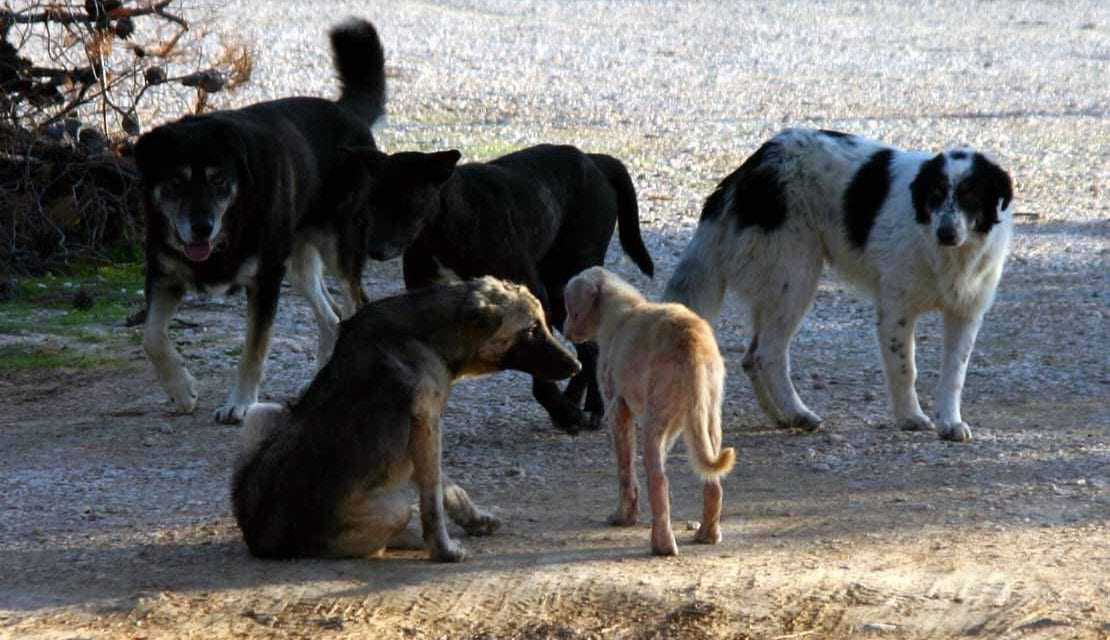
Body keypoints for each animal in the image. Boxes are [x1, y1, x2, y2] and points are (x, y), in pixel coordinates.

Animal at [135, 17, 386, 421]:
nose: (201, 228)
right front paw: (182, 391)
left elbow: (254, 350)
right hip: (298, 262)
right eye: (175, 183)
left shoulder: (264, 281)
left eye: (219, 181)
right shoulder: (164, 276)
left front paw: (239, 404)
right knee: (332, 320)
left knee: (354, 305)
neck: (229, 228)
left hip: (338, 248)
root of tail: (346, 112)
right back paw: (316, 385)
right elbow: (152, 337)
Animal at [233, 275, 581, 559]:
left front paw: (475, 520)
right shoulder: (427, 425)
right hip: (392, 510)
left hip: (263, 412)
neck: (427, 335)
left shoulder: (426, 434)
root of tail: (262, 540)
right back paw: (412, 537)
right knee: (390, 531)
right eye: (532, 330)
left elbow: (448, 488)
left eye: (544, 324)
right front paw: (443, 550)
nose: (576, 366)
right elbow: (432, 500)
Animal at [333, 143, 652, 434]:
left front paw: (563, 412)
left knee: (591, 347)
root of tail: (594, 159)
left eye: (410, 200)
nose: (375, 249)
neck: (446, 224)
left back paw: (593, 407)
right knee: (586, 347)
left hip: (565, 281)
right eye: (372, 201)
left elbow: (541, 371)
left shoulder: (534, 296)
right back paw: (576, 399)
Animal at [563, 263, 737, 554]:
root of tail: (692, 343)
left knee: (659, 480)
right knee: (712, 482)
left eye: (568, 307)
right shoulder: (677, 424)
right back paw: (708, 534)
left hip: (655, 422)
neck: (622, 308)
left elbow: (625, 470)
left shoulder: (617, 408)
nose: (565, 331)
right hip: (708, 418)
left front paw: (624, 517)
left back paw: (662, 545)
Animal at [666, 128, 1016, 441]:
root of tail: (753, 165)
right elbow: (905, 369)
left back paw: (780, 416)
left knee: (751, 357)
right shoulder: (896, 311)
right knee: (768, 353)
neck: (948, 254)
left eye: (971, 195)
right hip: (795, 277)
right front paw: (911, 417)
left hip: (776, 286)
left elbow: (954, 374)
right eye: (936, 194)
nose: (946, 232)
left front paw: (949, 423)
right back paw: (798, 413)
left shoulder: (965, 314)